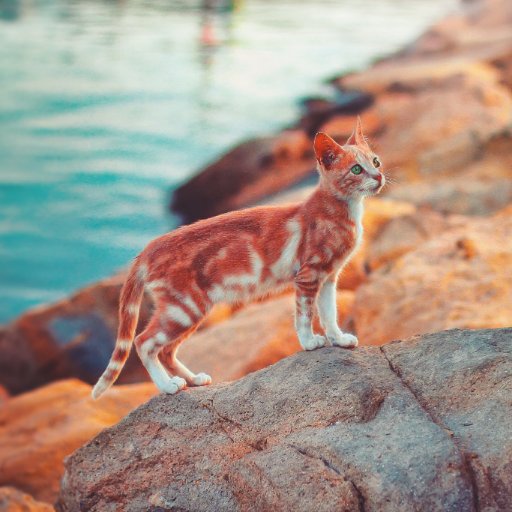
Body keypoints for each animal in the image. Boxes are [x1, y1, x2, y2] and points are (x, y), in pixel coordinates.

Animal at [94, 121, 386, 400]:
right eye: (356, 170)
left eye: (375, 161)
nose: (379, 176)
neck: (341, 211)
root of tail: (148, 248)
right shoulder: (308, 275)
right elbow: (304, 314)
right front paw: (308, 342)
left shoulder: (328, 278)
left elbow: (329, 313)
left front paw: (338, 339)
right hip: (184, 307)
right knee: (144, 342)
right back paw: (167, 386)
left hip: (190, 309)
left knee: (166, 350)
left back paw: (193, 380)